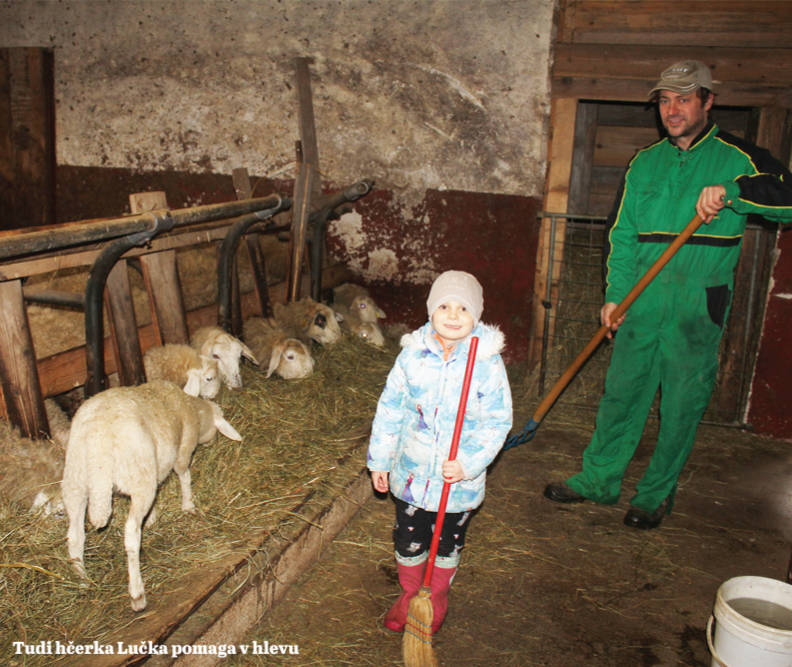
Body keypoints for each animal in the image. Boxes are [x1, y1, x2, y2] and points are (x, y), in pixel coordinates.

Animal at [61, 378, 241, 612]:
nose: (211, 442)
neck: (191, 406)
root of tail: (97, 443)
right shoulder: (182, 451)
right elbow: (184, 476)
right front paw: (188, 505)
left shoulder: (157, 469)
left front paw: (153, 517)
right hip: (139, 480)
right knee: (131, 535)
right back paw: (137, 594)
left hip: (75, 482)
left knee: (75, 537)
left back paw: (83, 582)